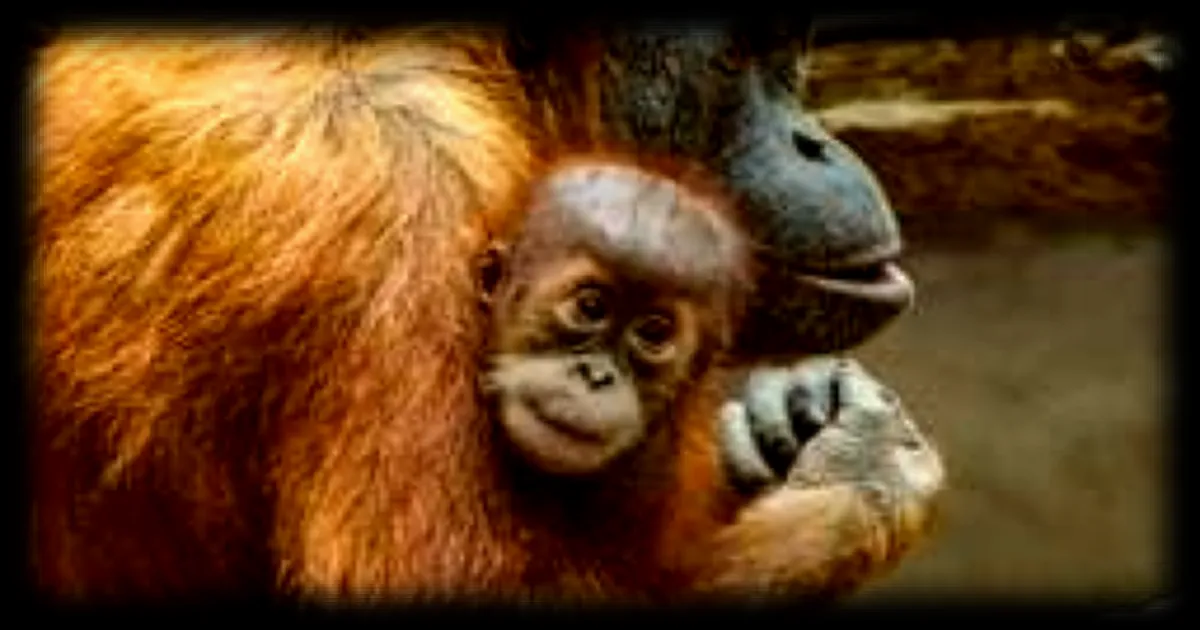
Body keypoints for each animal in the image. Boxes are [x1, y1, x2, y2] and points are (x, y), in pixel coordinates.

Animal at [30, 24, 941, 601]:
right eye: (748, 58)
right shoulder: (404, 209)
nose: (812, 143)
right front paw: (863, 480)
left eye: (789, 54)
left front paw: (779, 414)